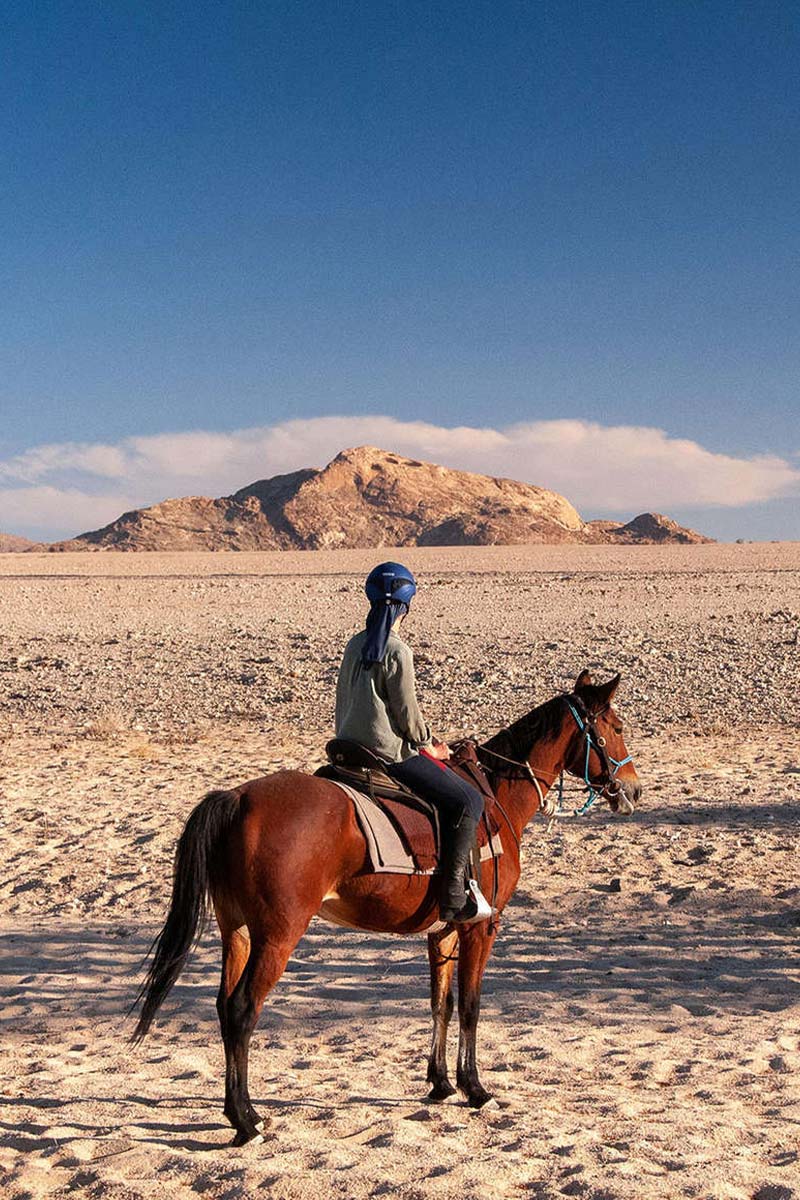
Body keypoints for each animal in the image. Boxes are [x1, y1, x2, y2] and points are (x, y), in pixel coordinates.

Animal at [132, 669, 640, 1146]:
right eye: (615, 726)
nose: (633, 791)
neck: (496, 795)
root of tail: (237, 798)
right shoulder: (482, 927)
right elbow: (471, 1004)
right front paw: (475, 1088)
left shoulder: (444, 929)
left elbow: (441, 1002)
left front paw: (440, 1084)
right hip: (276, 936)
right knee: (241, 1011)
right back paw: (245, 1121)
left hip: (236, 930)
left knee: (223, 1007)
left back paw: (241, 1112)